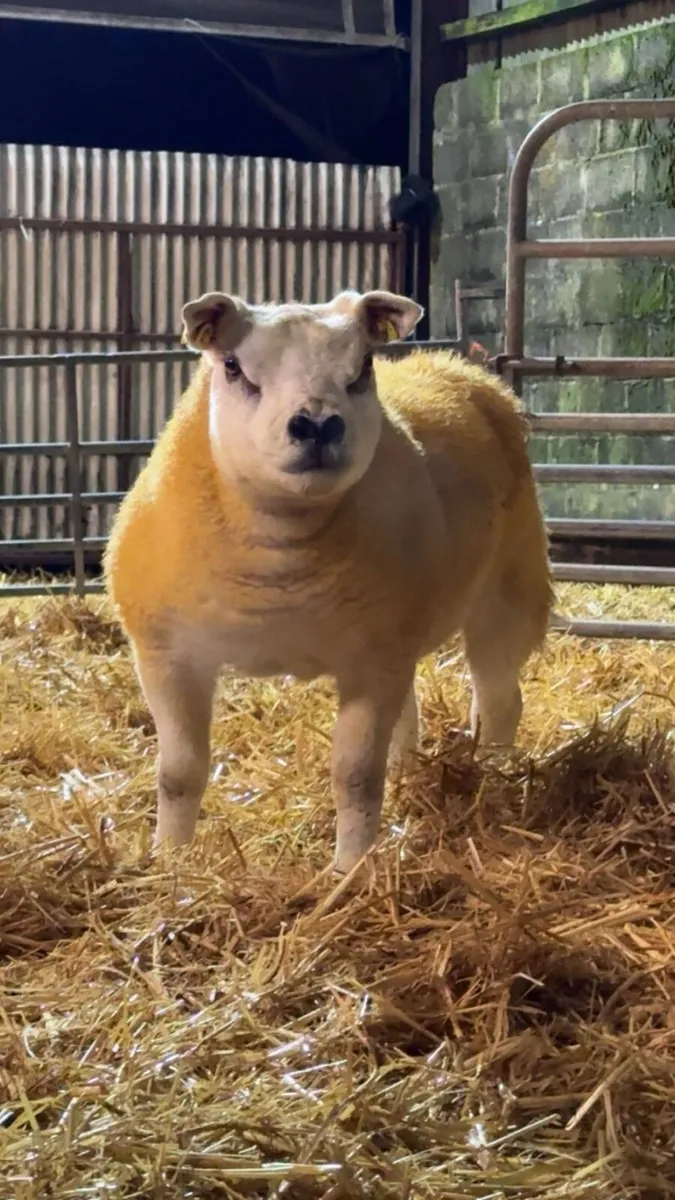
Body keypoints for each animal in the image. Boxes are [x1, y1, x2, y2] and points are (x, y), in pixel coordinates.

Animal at [104, 289, 553, 875]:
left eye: (362, 367)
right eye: (233, 367)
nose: (317, 425)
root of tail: (457, 369)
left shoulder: (373, 659)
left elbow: (356, 776)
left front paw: (348, 871)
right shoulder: (166, 656)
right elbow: (178, 774)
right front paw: (170, 863)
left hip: (508, 590)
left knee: (499, 699)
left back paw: (494, 777)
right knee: (411, 713)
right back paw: (410, 776)